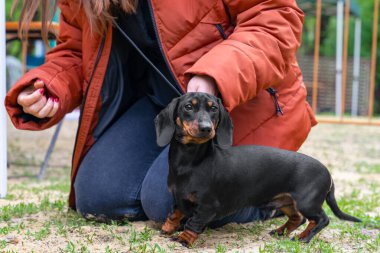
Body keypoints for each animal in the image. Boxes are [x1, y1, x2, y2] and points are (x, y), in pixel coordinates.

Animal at [154, 92, 360, 246]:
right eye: (188, 107)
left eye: (213, 109)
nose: (206, 128)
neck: (190, 161)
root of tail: (328, 173)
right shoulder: (178, 197)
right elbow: (174, 214)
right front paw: (167, 229)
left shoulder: (207, 206)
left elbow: (193, 223)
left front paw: (184, 239)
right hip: (287, 201)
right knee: (299, 219)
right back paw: (281, 232)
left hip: (307, 201)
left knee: (322, 219)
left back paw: (303, 238)